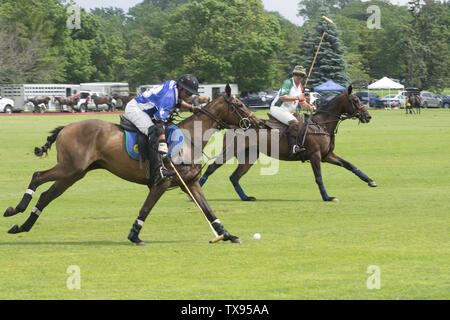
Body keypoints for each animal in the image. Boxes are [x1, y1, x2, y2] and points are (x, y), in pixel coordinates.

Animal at [4, 85, 253, 245]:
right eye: (239, 104)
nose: (256, 121)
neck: (191, 138)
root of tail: (66, 127)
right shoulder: (162, 183)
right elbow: (146, 208)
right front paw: (134, 236)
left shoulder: (190, 183)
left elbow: (208, 210)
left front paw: (228, 235)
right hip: (70, 167)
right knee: (37, 176)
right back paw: (16, 208)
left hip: (74, 173)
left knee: (46, 196)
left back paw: (22, 226)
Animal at [200, 85, 376, 202]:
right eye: (355, 100)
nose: (368, 117)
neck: (322, 124)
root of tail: (234, 125)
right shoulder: (315, 155)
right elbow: (319, 177)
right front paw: (327, 197)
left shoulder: (327, 155)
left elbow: (349, 165)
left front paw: (370, 181)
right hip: (230, 150)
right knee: (211, 168)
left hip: (250, 155)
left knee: (234, 177)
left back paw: (246, 197)